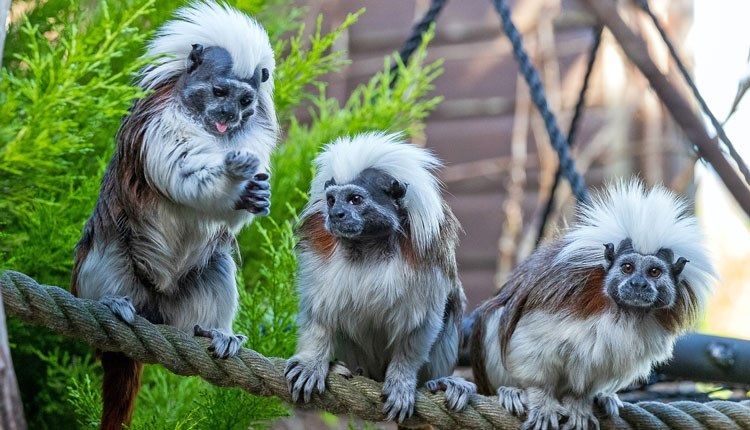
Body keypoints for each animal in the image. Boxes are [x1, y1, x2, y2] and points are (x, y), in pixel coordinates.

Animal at [70, 3, 278, 429]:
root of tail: (154, 311)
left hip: (181, 302)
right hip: (107, 263)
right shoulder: (163, 123)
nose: (229, 114)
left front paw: (255, 195)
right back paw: (111, 303)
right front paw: (233, 182)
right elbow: (183, 172)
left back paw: (212, 333)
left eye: (244, 101)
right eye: (219, 92)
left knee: (216, 265)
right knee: (107, 253)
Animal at [284, 132, 477, 423]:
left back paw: (442, 383)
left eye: (354, 199)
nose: (336, 214)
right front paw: (311, 362)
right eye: (331, 200)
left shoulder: (428, 255)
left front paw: (402, 381)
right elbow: (318, 315)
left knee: (451, 308)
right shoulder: (317, 250)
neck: (368, 246)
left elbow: (421, 325)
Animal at [468, 180, 715, 430]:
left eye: (654, 272)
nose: (638, 284)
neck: (623, 312)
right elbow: (530, 350)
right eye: (627, 267)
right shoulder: (565, 297)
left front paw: (579, 402)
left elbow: (591, 377)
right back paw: (511, 391)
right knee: (497, 317)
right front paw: (541, 400)